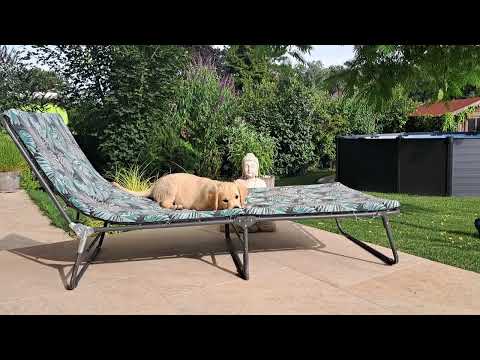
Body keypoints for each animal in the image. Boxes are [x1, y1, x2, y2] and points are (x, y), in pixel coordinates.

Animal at [112, 172, 248, 211]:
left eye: (237, 197)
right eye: (225, 200)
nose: (236, 208)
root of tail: (154, 185)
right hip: (170, 189)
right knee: (164, 203)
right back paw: (176, 206)